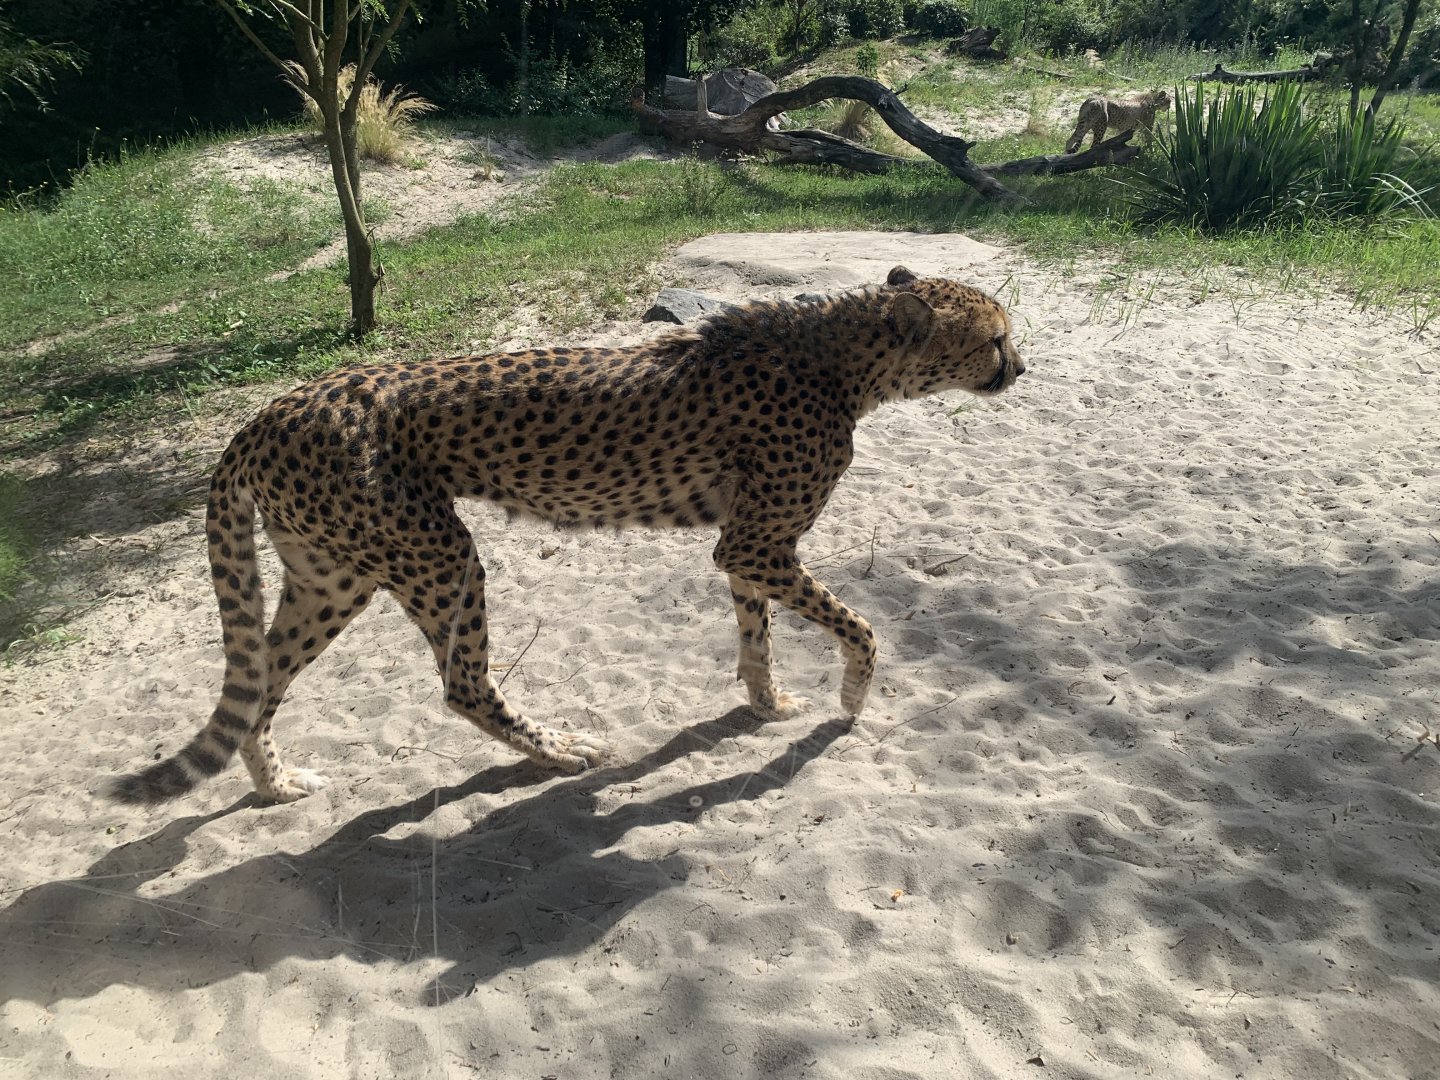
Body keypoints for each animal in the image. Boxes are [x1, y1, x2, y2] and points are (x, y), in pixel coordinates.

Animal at [109, 265, 1026, 806]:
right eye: (995, 337)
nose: (1023, 368)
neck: (843, 358)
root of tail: (277, 407)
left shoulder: (748, 546)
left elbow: (756, 632)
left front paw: (767, 702)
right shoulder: (757, 542)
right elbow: (861, 626)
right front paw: (850, 697)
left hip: (332, 576)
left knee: (262, 681)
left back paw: (274, 784)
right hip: (436, 554)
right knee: (461, 683)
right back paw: (559, 751)